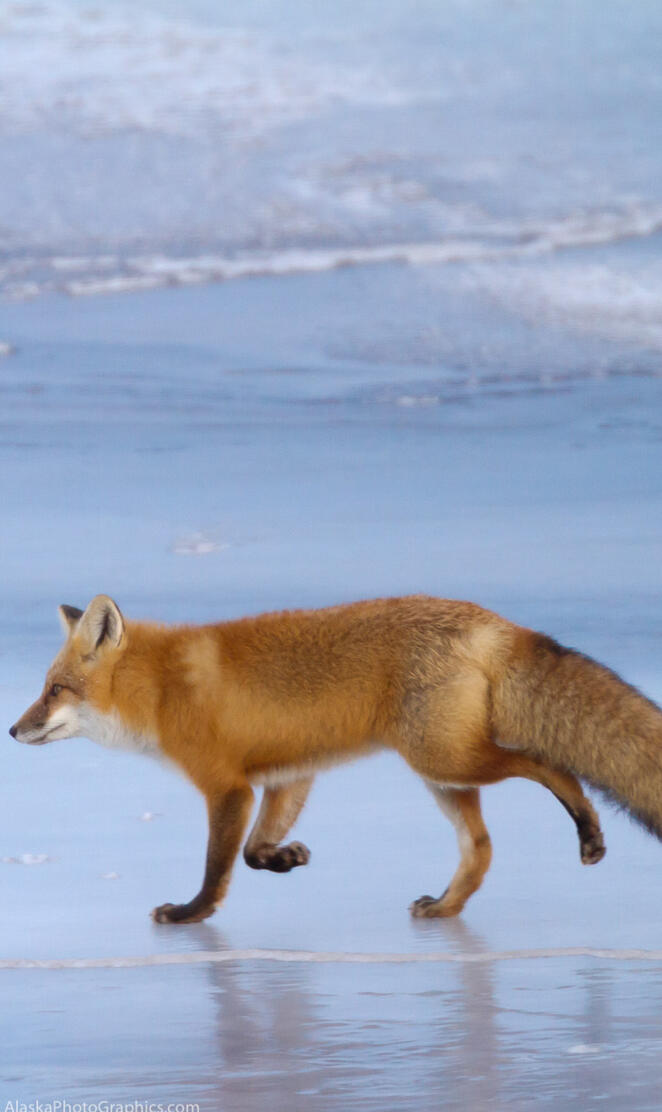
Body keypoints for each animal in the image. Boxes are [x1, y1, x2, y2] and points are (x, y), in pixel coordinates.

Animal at [9, 593, 662, 925]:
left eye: (55, 690)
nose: (13, 730)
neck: (163, 687)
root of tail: (494, 621)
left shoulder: (228, 788)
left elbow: (219, 865)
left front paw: (192, 913)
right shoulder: (289, 776)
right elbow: (253, 852)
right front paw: (285, 859)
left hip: (446, 759)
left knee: (552, 767)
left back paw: (588, 830)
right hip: (443, 773)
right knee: (481, 849)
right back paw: (446, 906)